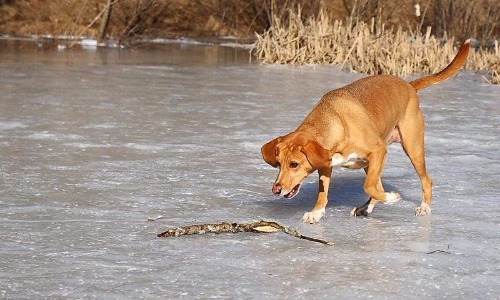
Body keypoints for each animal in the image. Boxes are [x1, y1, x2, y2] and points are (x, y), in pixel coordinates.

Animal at [262, 39, 468, 223]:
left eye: (294, 164)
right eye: (278, 163)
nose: (276, 189)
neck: (336, 122)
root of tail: (408, 85)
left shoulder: (378, 151)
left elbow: (368, 185)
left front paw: (392, 198)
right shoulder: (326, 164)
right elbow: (323, 192)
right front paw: (316, 213)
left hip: (412, 148)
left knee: (425, 181)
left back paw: (423, 207)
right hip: (372, 163)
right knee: (379, 185)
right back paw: (366, 208)